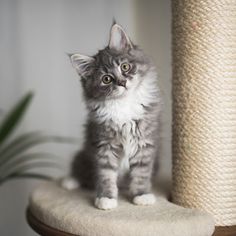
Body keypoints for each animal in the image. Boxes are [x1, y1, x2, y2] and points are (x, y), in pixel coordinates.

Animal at [63, 23, 162, 209]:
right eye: (107, 79)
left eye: (125, 67)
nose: (122, 82)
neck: (123, 104)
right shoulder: (104, 144)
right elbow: (106, 175)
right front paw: (106, 199)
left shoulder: (144, 143)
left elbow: (141, 173)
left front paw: (142, 195)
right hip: (83, 155)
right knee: (80, 171)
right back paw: (69, 181)